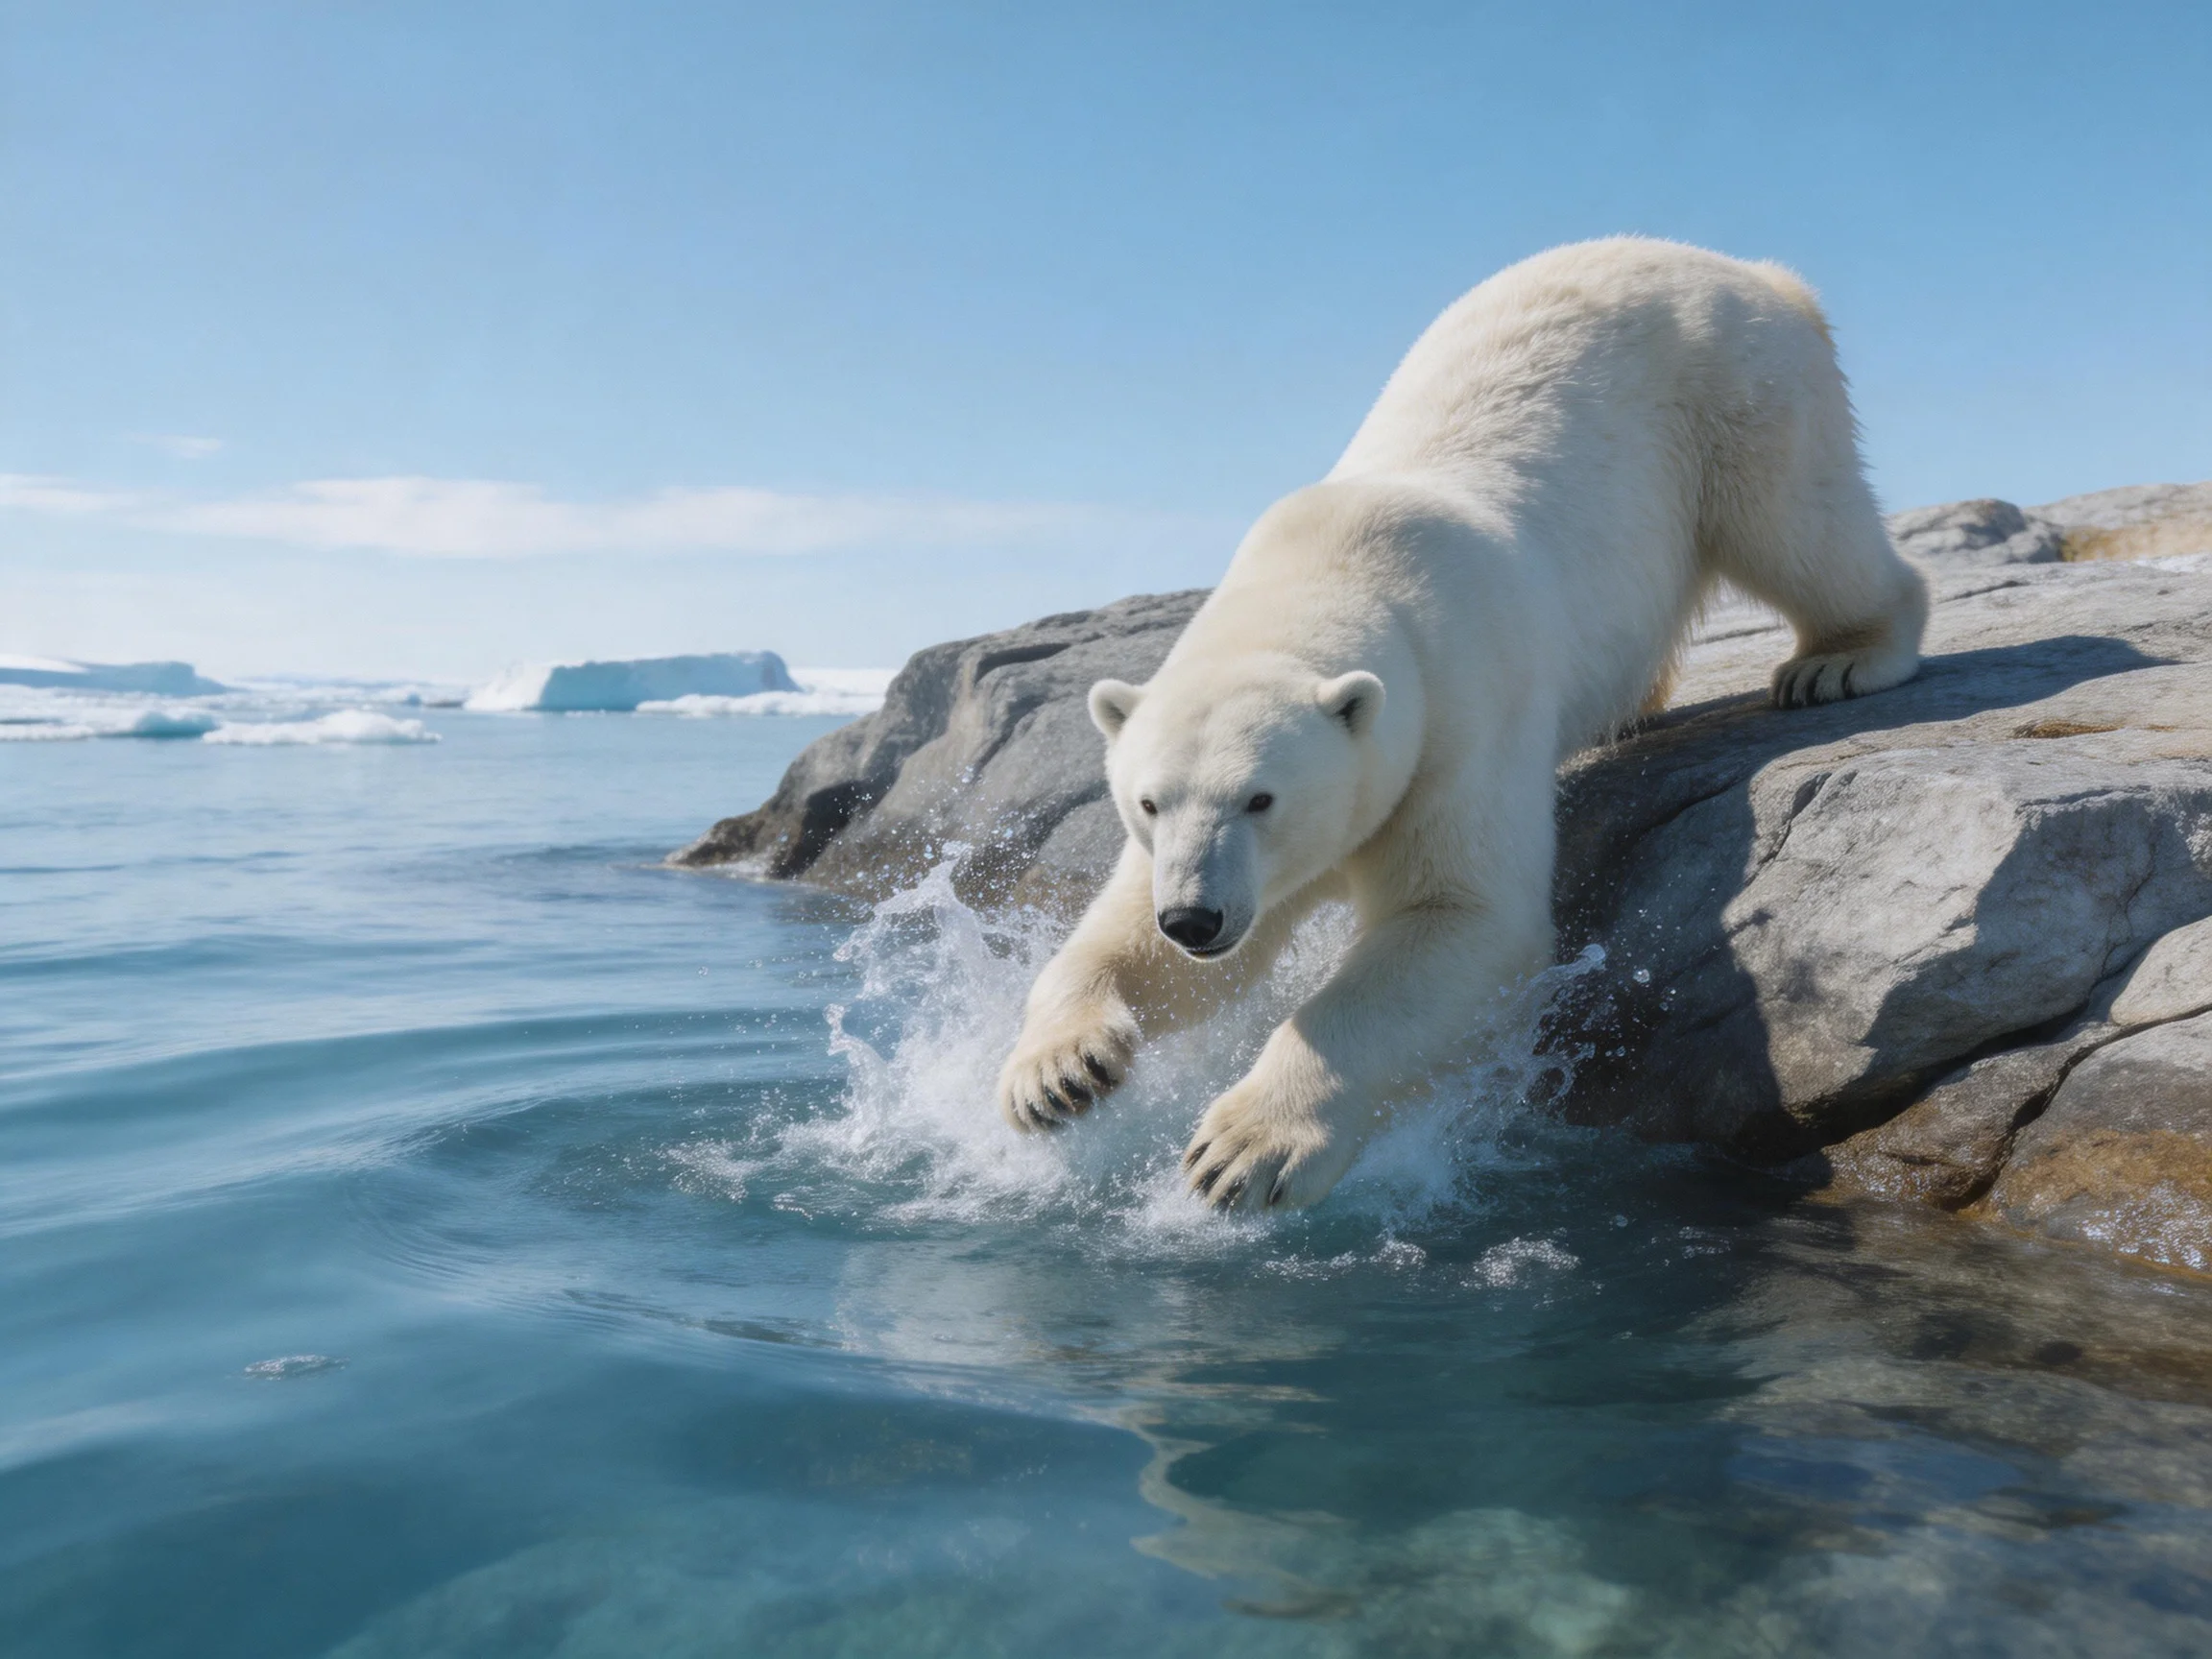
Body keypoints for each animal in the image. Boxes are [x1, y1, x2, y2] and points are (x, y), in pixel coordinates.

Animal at [996, 237, 1928, 1211]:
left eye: (1261, 799)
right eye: (1148, 803)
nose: (1195, 918)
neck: (1336, 565)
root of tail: (1758, 272)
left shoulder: (1462, 713)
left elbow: (1463, 916)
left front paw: (1244, 1148)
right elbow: (1125, 937)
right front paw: (1058, 1073)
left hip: (1739, 389)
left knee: (1798, 527)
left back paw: (1838, 659)